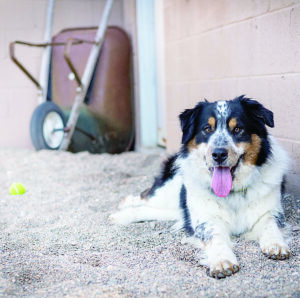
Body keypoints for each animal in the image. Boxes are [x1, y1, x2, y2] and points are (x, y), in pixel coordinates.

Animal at [110, 96, 290, 280]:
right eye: (207, 129)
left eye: (238, 129)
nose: (218, 154)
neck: (232, 193)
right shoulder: (206, 218)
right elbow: (215, 236)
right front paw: (222, 260)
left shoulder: (271, 211)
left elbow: (271, 225)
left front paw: (276, 244)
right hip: (169, 192)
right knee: (146, 196)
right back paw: (123, 208)